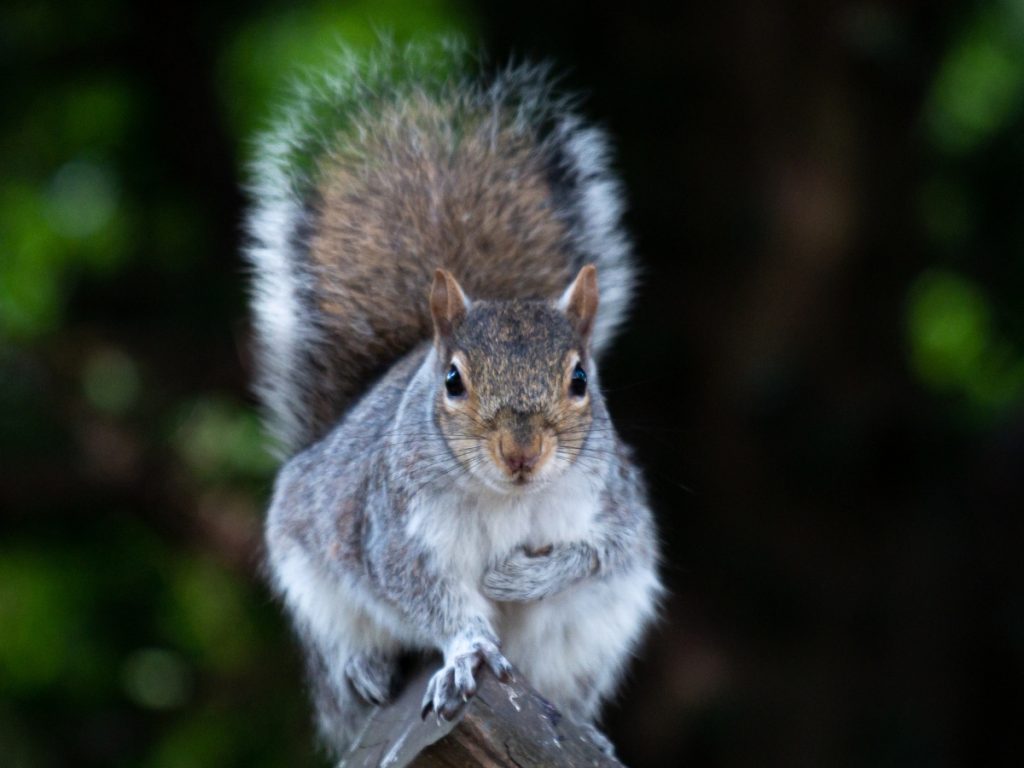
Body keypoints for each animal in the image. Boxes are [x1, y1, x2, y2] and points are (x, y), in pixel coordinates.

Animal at [247, 43, 663, 765]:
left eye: (581, 380)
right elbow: (428, 596)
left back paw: (585, 730)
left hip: (593, 638)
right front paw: (468, 649)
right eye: (452, 381)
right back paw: (361, 667)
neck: (510, 499)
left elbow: (598, 553)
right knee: (340, 658)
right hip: (312, 578)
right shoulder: (396, 531)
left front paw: (520, 582)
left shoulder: (616, 507)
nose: (521, 453)